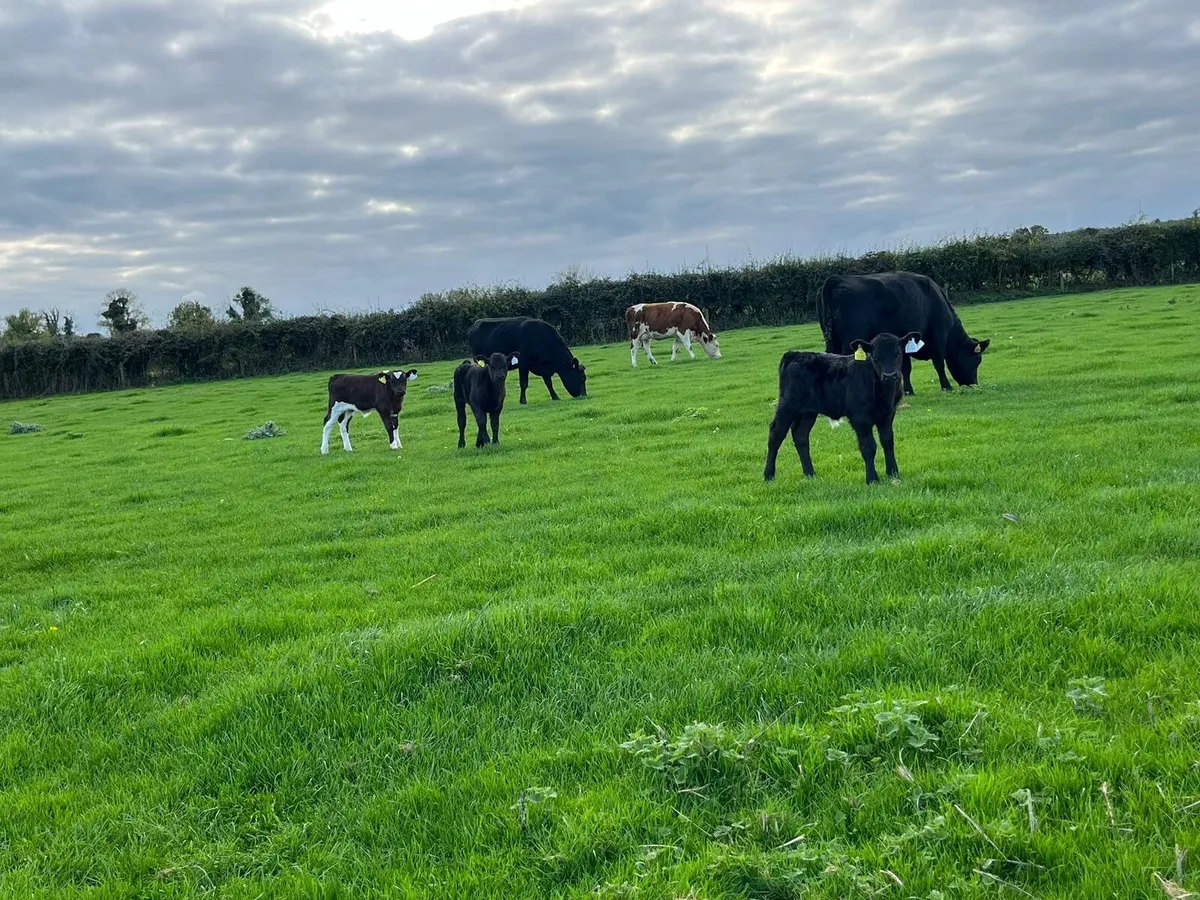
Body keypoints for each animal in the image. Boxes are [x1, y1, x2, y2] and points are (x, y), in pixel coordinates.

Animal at [763, 331, 922, 485]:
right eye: (875, 356)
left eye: (898, 353)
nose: (890, 376)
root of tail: (794, 354)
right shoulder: (859, 418)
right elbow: (868, 446)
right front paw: (872, 478)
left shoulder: (888, 415)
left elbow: (888, 441)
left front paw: (893, 473)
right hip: (787, 405)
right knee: (775, 434)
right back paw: (768, 475)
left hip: (808, 412)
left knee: (800, 435)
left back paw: (810, 474)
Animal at [817, 271, 990, 394]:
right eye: (977, 360)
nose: (974, 384)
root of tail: (835, 280)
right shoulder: (938, 337)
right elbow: (939, 364)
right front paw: (946, 387)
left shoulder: (905, 341)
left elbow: (905, 368)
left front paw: (908, 390)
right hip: (849, 341)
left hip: (832, 342)